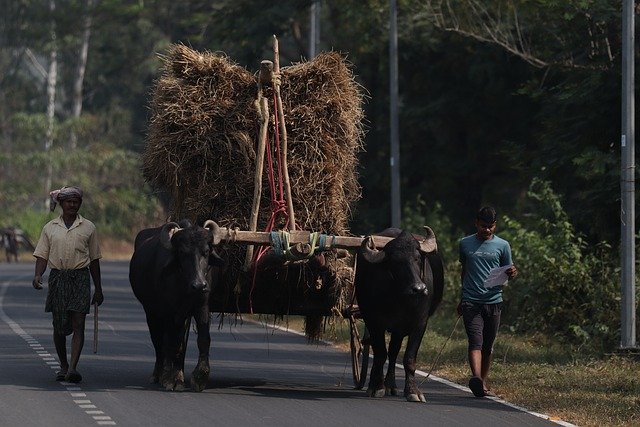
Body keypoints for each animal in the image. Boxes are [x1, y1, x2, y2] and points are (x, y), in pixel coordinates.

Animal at [129, 221, 224, 392]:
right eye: (182, 252)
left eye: (206, 251)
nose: (199, 285)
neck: (185, 285)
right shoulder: (168, 312)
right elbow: (172, 343)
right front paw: (170, 378)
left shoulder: (201, 306)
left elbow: (202, 339)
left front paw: (200, 376)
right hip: (151, 312)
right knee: (158, 341)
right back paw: (158, 374)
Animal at [356, 229, 444, 402]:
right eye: (396, 262)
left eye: (417, 258)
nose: (419, 288)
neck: (401, 299)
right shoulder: (374, 322)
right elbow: (380, 354)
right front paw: (376, 387)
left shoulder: (420, 323)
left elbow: (409, 358)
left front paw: (413, 391)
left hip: (399, 330)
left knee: (393, 352)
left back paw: (391, 385)